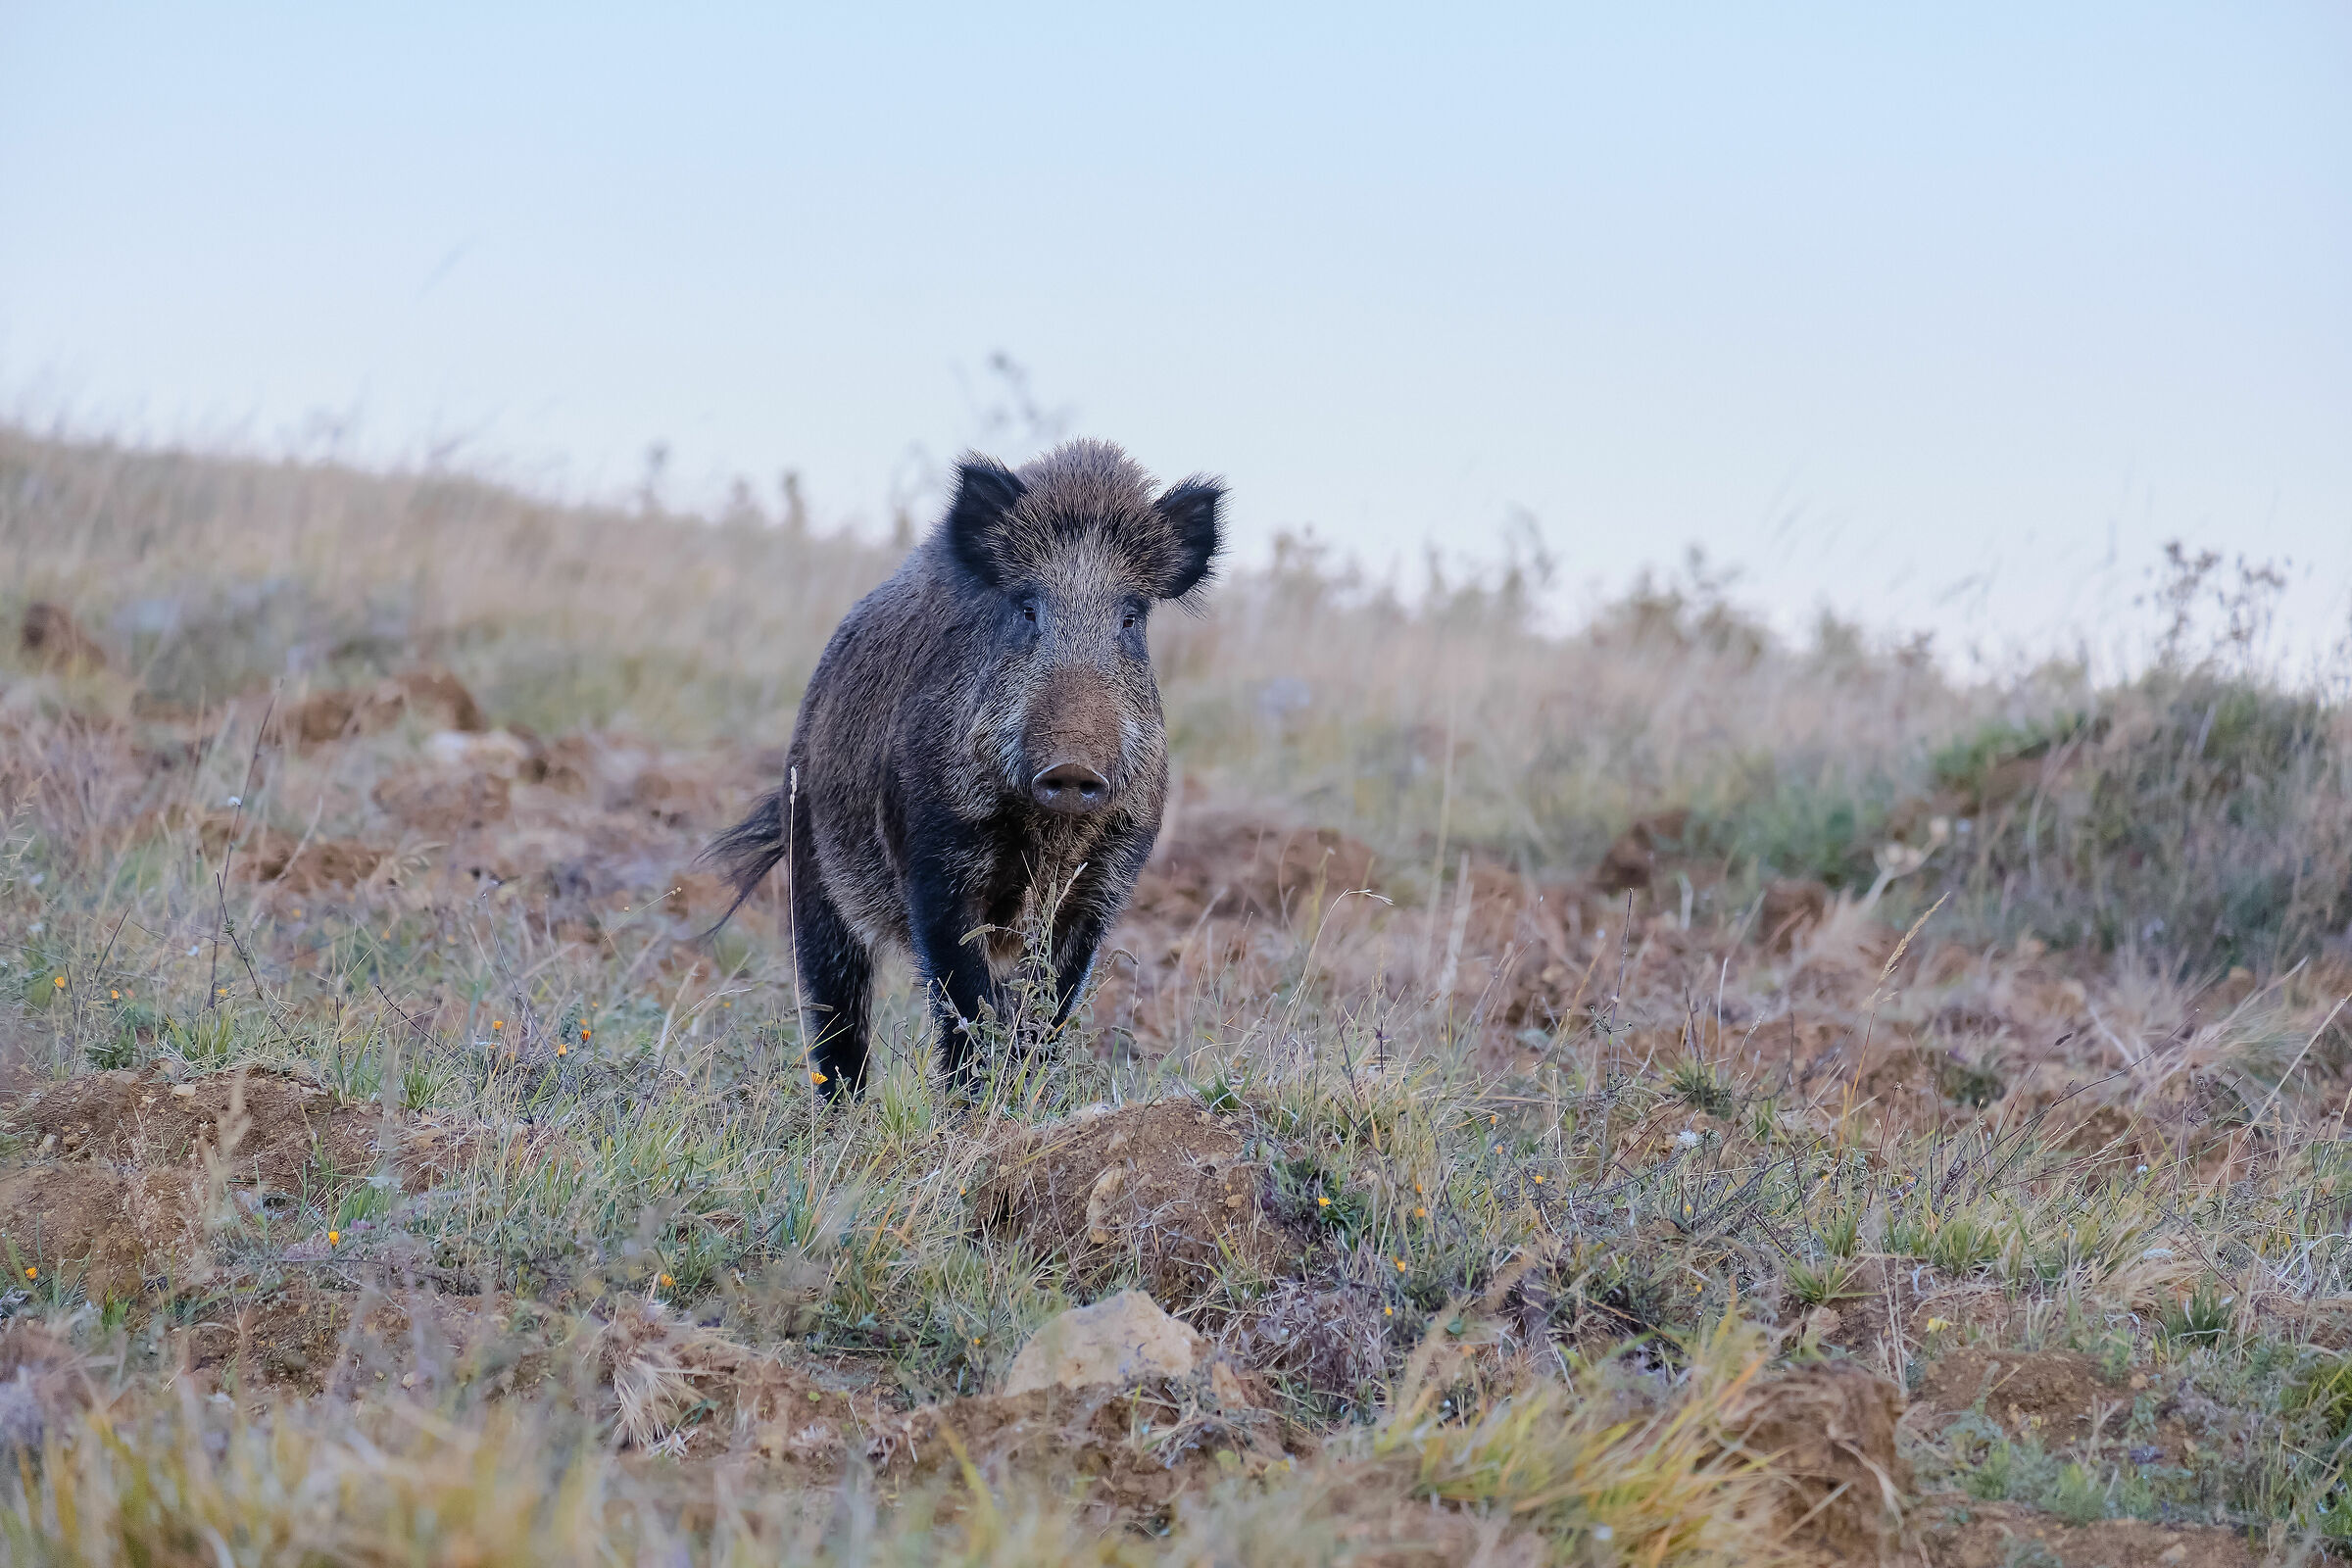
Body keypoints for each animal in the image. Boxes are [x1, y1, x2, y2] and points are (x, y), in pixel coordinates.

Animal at [705, 439, 1224, 1096]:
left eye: (1130, 619)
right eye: (1026, 608)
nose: (1073, 766)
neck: (1046, 832)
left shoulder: (1103, 879)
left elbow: (1049, 1007)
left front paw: (1022, 1093)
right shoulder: (936, 857)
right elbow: (963, 1004)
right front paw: (971, 1103)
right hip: (813, 870)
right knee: (834, 1014)